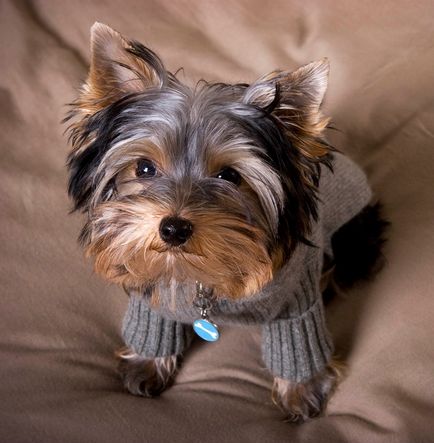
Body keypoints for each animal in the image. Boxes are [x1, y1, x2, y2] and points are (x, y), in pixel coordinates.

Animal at [66, 23, 388, 424]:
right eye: (144, 168)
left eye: (230, 176)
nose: (173, 228)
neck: (200, 274)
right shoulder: (151, 276)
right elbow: (154, 319)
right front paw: (146, 361)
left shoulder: (297, 299)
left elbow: (299, 339)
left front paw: (303, 390)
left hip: (354, 237)